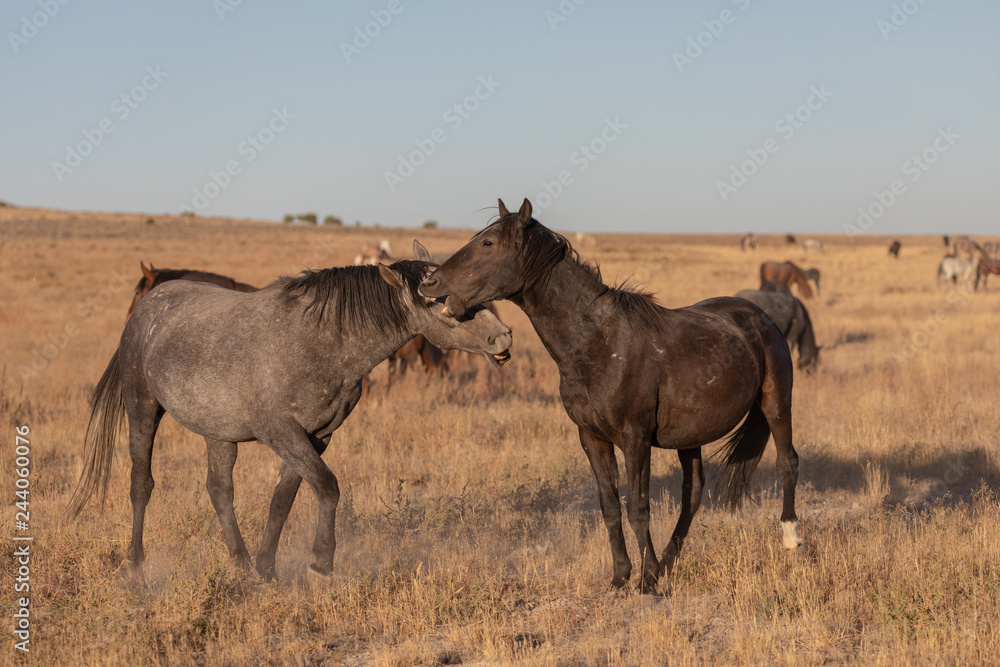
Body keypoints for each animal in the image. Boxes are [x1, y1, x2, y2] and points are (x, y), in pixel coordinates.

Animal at [418, 198, 800, 596]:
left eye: (488, 243)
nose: (429, 283)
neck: (598, 342)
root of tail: (761, 316)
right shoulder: (592, 438)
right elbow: (610, 507)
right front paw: (621, 576)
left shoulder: (635, 440)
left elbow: (638, 507)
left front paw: (646, 580)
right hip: (689, 436)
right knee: (692, 494)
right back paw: (668, 560)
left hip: (776, 404)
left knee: (787, 462)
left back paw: (790, 540)